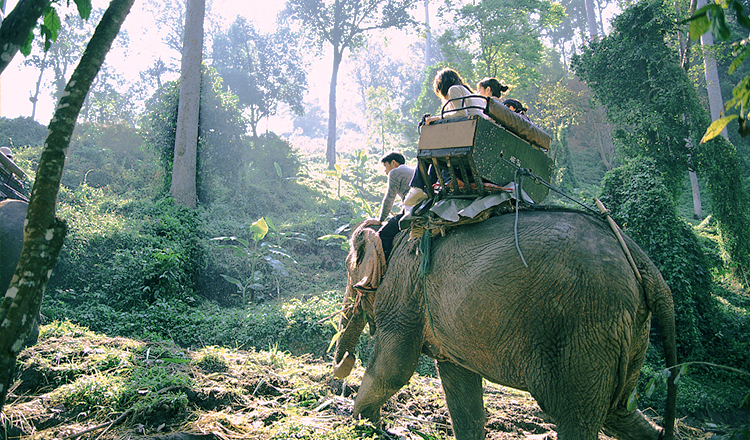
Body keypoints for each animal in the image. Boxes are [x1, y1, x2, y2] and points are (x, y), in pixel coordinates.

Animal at [333, 208, 677, 440]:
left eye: (350, 273)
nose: (344, 362)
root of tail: (643, 262)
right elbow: (460, 383)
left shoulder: (404, 289)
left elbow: (394, 368)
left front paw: (361, 424)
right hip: (628, 331)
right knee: (620, 412)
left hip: (586, 327)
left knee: (576, 416)